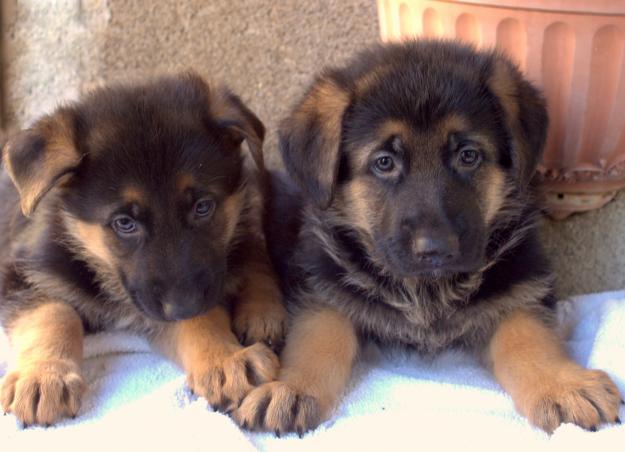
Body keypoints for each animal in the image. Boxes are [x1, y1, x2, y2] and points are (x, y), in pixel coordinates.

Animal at [0, 72, 286, 426]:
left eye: (203, 206)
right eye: (125, 223)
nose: (186, 306)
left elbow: (204, 316)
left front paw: (225, 359)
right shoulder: (22, 273)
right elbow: (54, 313)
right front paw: (43, 376)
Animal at [232, 41, 620, 434]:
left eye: (468, 155)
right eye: (384, 162)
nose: (436, 249)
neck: (427, 290)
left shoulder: (518, 288)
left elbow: (530, 339)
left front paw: (562, 384)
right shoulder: (324, 288)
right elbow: (317, 340)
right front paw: (290, 388)